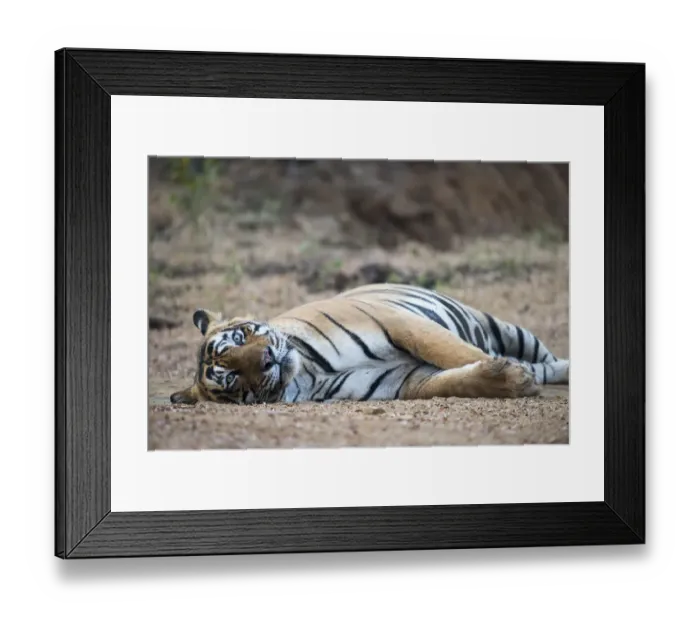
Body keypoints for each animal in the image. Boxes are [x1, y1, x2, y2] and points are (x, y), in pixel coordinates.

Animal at [169, 283, 569, 406]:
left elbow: (456, 353)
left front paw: (513, 375)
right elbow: (455, 381)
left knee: (549, 358)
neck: (307, 374)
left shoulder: (400, 323)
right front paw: (512, 380)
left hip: (505, 328)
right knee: (545, 366)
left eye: (240, 337)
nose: (268, 359)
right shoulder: (403, 380)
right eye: (233, 379)